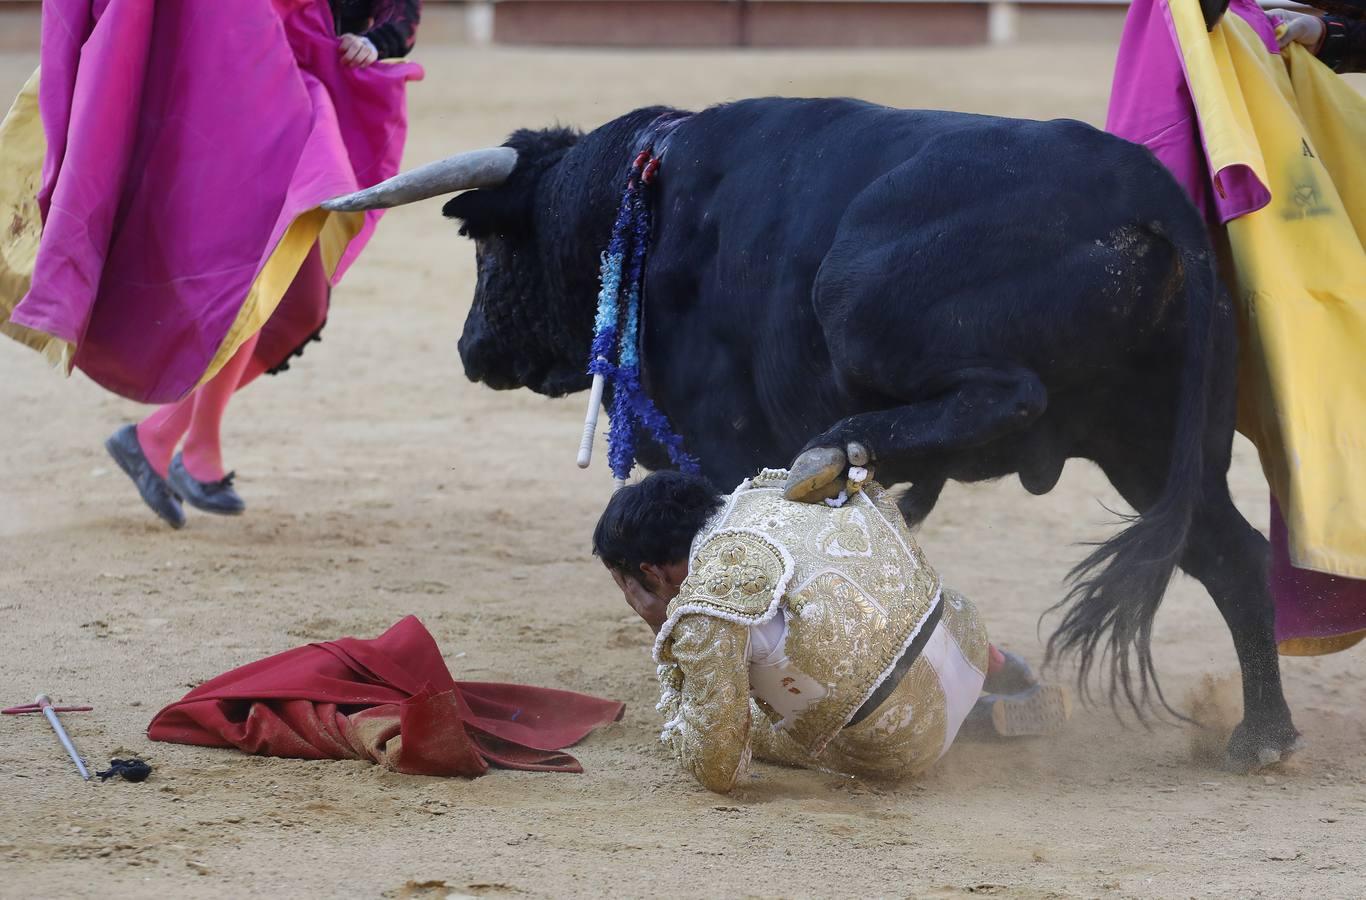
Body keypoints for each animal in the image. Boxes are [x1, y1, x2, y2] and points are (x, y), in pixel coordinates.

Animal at [336, 100, 1294, 775]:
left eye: (488, 244)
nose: (471, 349)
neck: (640, 209)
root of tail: (1144, 191)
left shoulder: (722, 444)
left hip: (858, 298)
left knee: (1012, 395)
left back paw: (838, 450)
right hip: (1155, 445)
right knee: (1232, 555)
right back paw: (1263, 737)